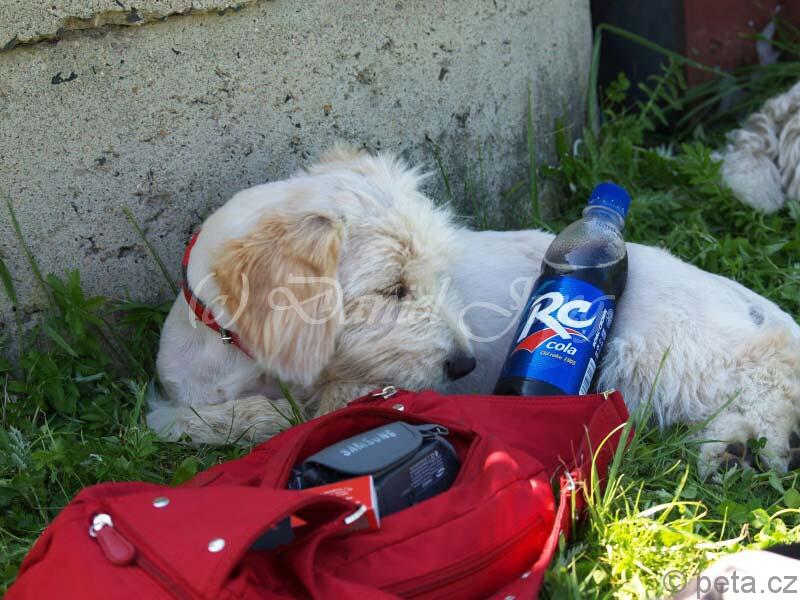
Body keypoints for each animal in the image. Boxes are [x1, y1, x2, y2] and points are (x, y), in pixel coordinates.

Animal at [148, 148, 800, 476]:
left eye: (440, 275)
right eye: (393, 289)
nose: (463, 366)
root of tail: (757, 306)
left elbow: (330, 404)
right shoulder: (176, 391)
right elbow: (177, 421)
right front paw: (259, 418)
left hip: (660, 355)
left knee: (768, 387)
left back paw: (743, 447)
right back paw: (735, 449)